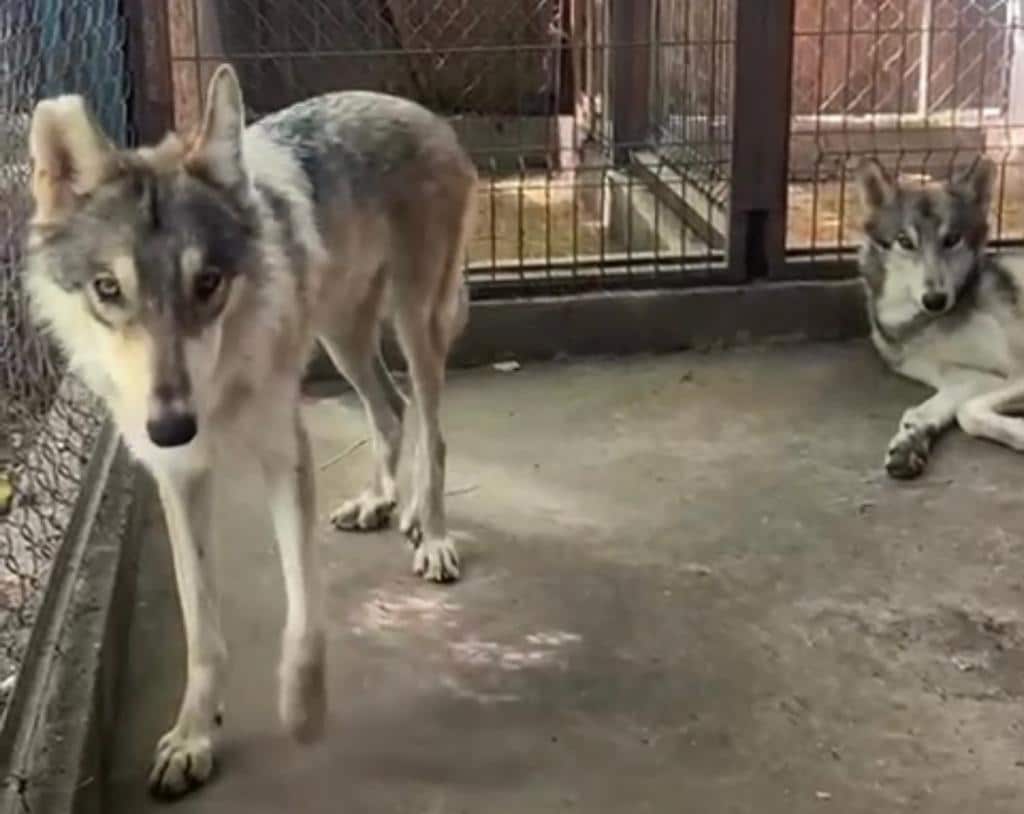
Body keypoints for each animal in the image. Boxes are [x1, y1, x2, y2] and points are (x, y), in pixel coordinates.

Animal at [24, 64, 476, 796]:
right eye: (107, 289)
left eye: (207, 282)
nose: (171, 426)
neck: (219, 393)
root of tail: (423, 111)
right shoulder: (179, 482)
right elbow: (202, 630)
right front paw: (192, 736)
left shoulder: (285, 455)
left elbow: (305, 615)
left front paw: (303, 714)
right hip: (344, 338)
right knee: (390, 409)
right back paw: (384, 505)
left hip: (415, 324)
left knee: (430, 428)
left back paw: (431, 535)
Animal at [856, 156, 1024, 479]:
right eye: (904, 241)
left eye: (952, 239)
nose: (935, 300)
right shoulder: (968, 377)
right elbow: (930, 410)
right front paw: (911, 440)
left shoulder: (1013, 373)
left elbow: (968, 412)